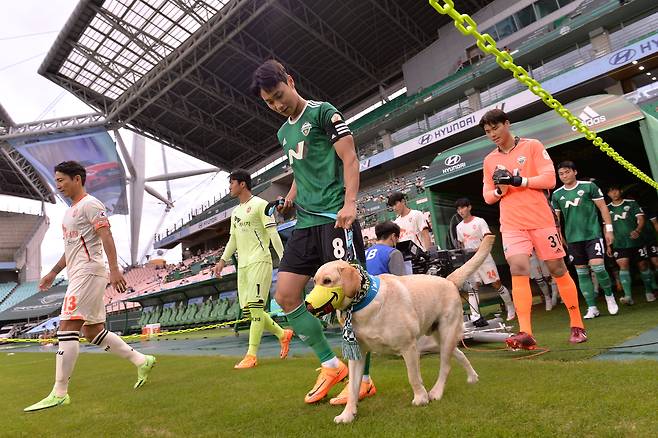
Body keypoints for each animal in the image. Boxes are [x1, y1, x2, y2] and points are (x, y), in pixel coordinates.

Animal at [312, 236, 492, 424]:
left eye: (327, 281)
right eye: (315, 281)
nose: (308, 305)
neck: (363, 302)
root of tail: (448, 280)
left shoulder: (409, 347)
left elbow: (413, 376)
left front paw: (421, 398)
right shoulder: (358, 355)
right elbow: (353, 388)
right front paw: (347, 414)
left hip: (445, 334)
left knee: (446, 365)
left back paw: (436, 392)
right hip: (437, 340)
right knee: (459, 354)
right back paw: (472, 377)